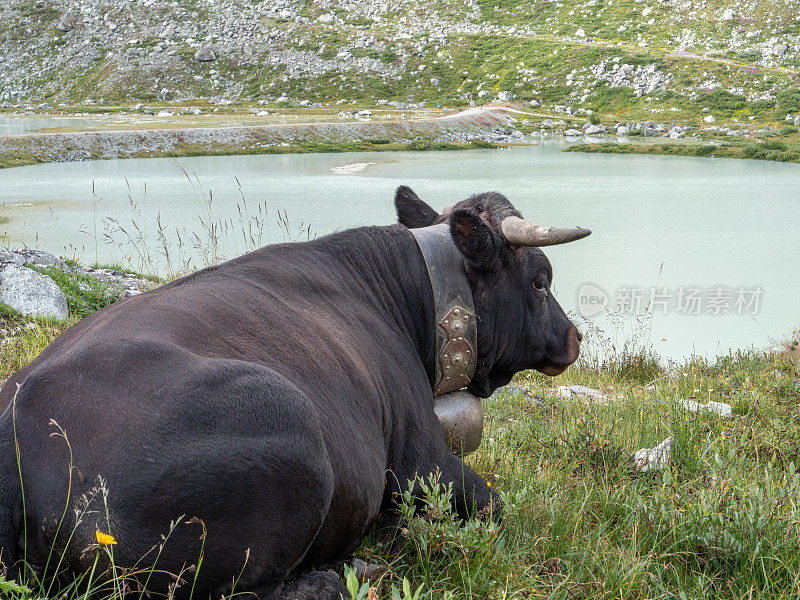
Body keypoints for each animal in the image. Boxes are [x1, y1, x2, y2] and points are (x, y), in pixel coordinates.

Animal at [0, 186, 588, 596]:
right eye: (541, 280)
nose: (574, 337)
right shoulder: (420, 457)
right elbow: (494, 504)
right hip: (288, 428)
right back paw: (351, 570)